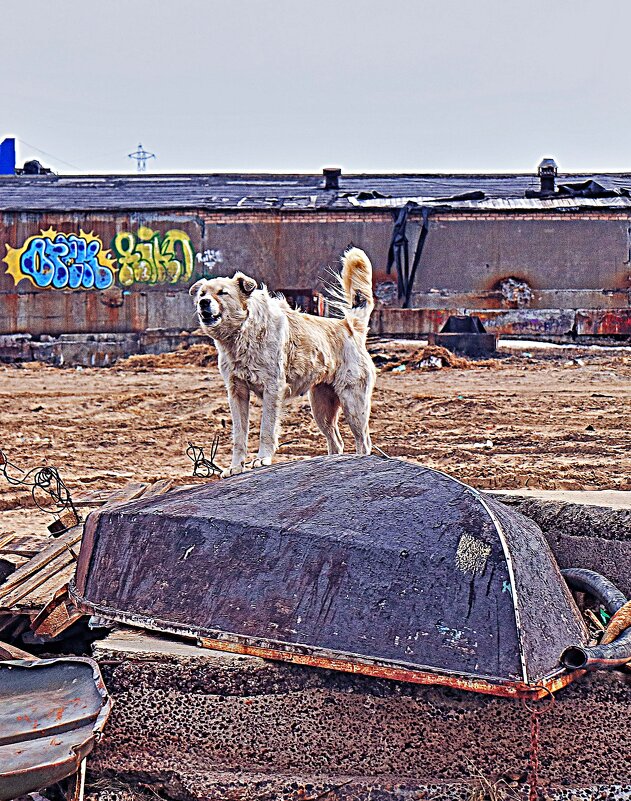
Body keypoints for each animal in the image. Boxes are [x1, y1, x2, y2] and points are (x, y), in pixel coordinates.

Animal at [188, 247, 376, 476]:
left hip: (353, 403)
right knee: (336, 441)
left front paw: (262, 459)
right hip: (321, 408)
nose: (203, 303)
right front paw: (235, 467)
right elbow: (239, 435)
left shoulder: (272, 388)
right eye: (202, 294)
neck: (242, 332)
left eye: (222, 292)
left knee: (363, 441)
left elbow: (266, 429)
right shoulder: (236, 392)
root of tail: (349, 327)